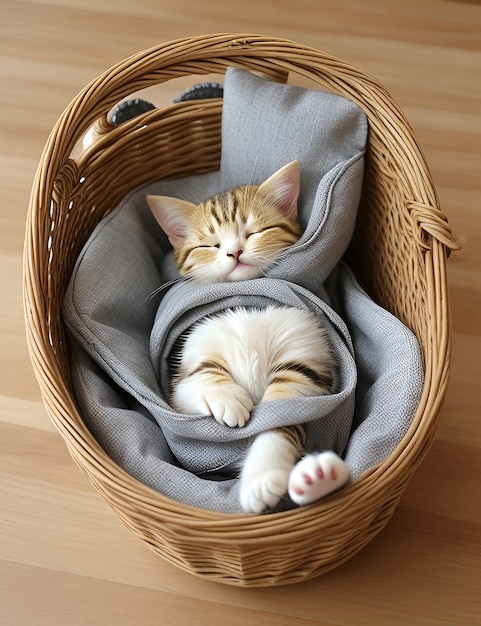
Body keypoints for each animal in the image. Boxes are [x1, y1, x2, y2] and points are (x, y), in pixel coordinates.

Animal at [146, 158, 348, 510]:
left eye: (255, 231)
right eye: (209, 245)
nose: (234, 252)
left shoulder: (304, 358)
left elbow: (280, 418)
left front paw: (261, 479)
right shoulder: (181, 373)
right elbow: (197, 378)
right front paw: (227, 397)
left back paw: (318, 477)